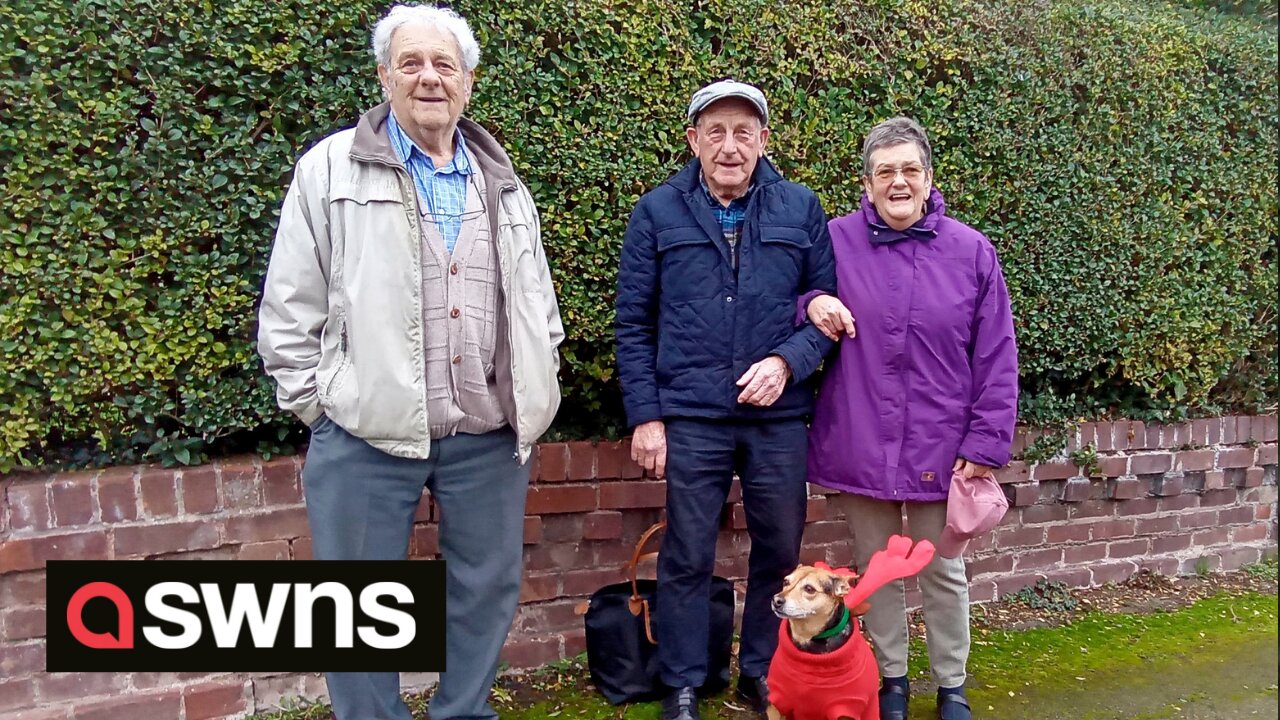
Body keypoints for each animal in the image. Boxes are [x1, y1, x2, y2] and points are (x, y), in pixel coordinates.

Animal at [757, 532, 931, 717]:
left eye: (809, 589)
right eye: (786, 582)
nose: (776, 600)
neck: (807, 641)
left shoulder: (845, 706)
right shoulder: (776, 702)